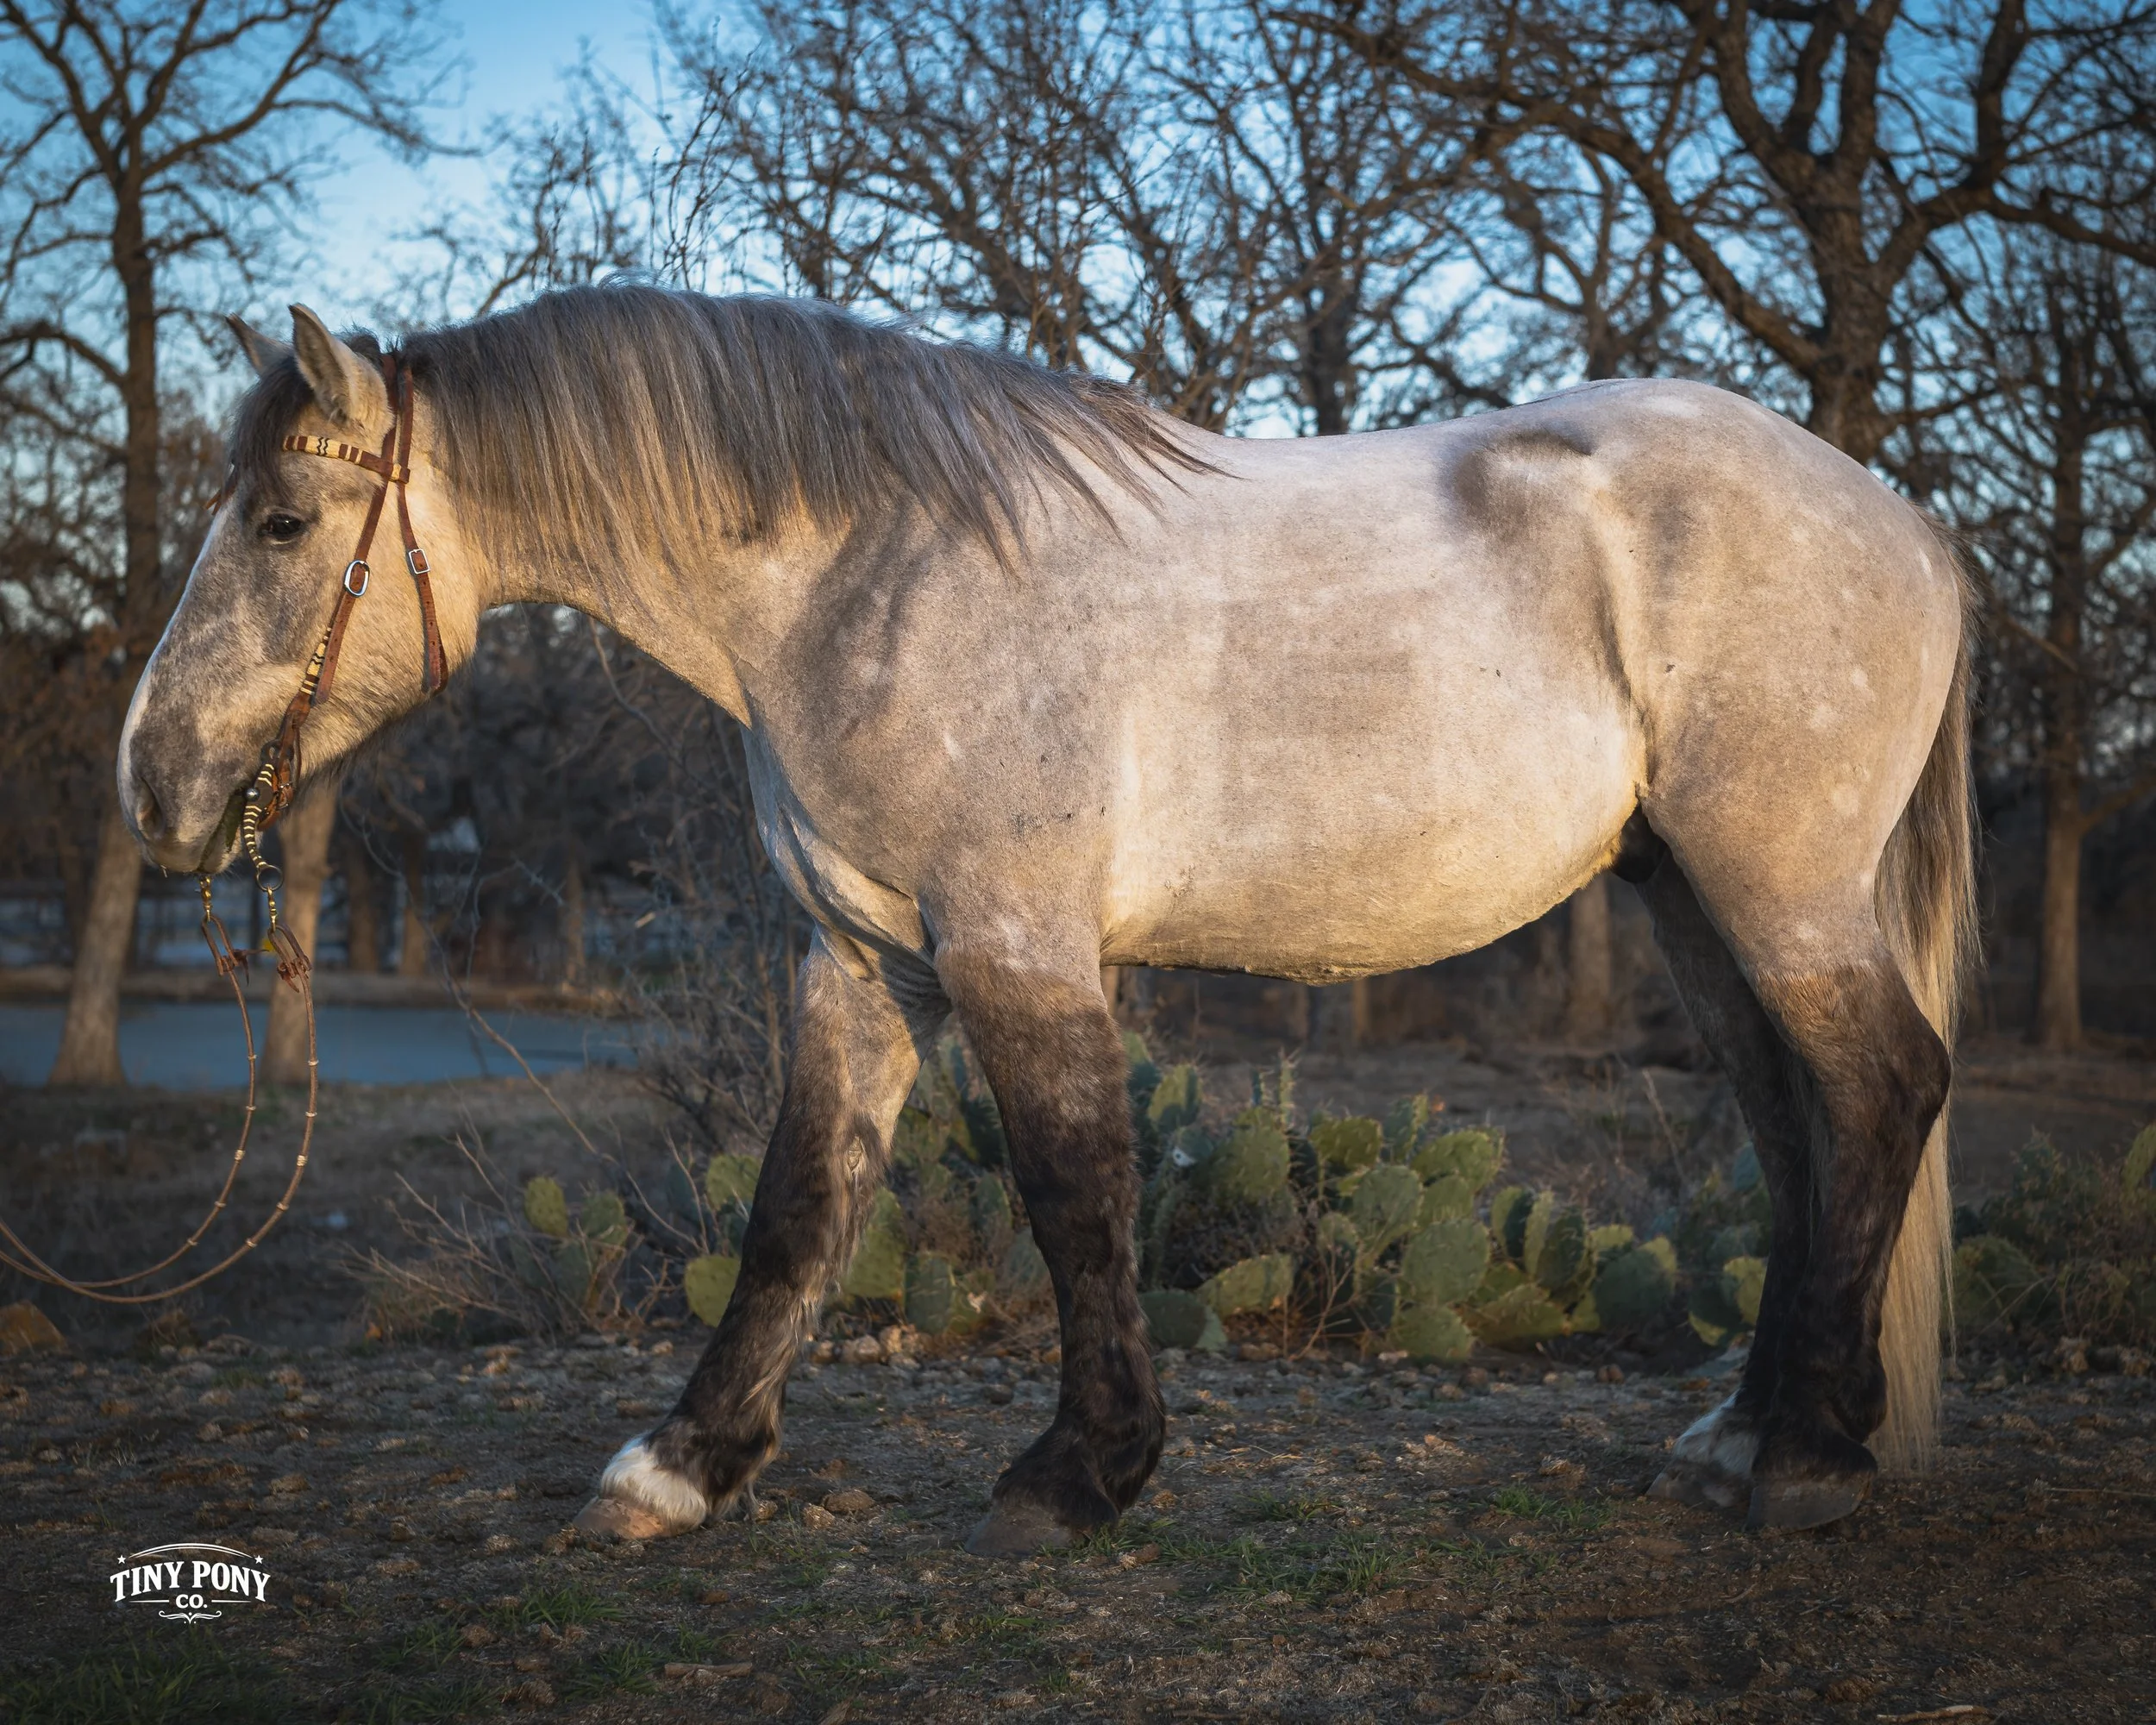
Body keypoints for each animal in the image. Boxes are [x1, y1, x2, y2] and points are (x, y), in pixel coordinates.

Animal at [118, 283, 1973, 1553]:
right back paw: (1741, 1434)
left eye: (281, 521)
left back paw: (1813, 1451)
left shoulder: (1012, 947)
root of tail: (1908, 526)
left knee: (1881, 1089)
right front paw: (680, 1467)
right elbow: (797, 1209)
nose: (150, 780)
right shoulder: (861, 961)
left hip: (1777, 892)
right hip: (1697, 905)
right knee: (1797, 1126)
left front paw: (1080, 1472)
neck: (868, 574)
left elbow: (1078, 1192)